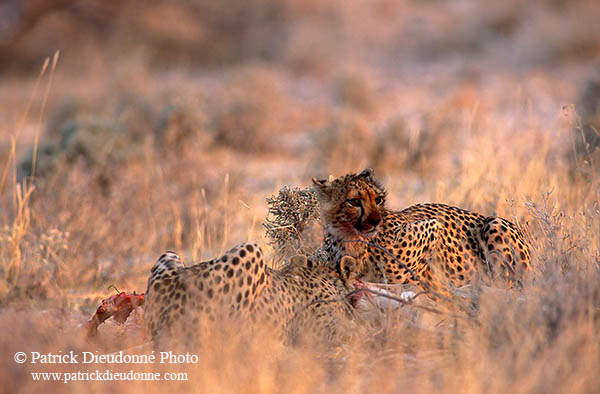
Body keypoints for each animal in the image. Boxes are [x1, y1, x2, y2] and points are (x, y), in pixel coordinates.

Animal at [312, 168, 532, 294]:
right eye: (354, 202)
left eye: (378, 199)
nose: (376, 221)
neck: (351, 239)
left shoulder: (432, 226)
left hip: (495, 224)